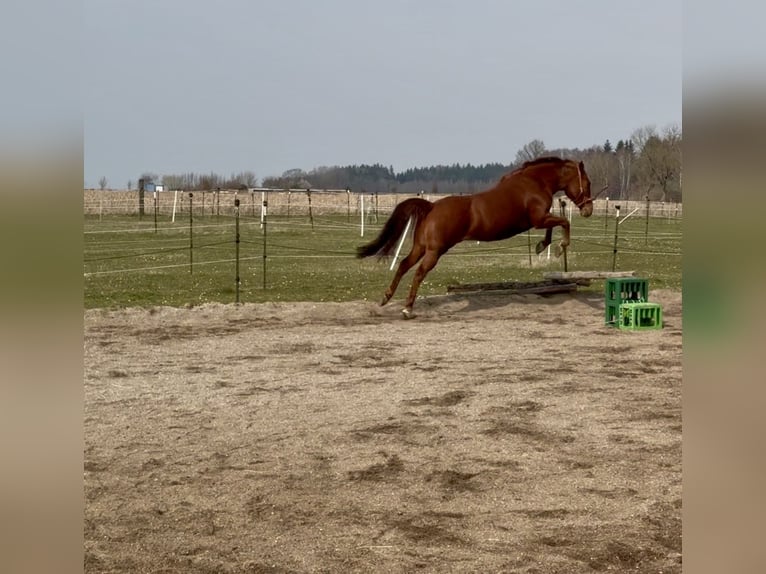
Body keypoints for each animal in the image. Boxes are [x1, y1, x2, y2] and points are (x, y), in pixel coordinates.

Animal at [357, 156, 594, 318]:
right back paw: (407, 309)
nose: (588, 210)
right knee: (418, 273)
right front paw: (559, 246)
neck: (534, 182)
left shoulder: (541, 219)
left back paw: (386, 298)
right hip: (435, 251)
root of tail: (432, 207)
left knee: (404, 265)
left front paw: (542, 246)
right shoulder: (539, 219)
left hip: (421, 247)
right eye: (588, 183)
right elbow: (563, 223)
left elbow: (554, 228)